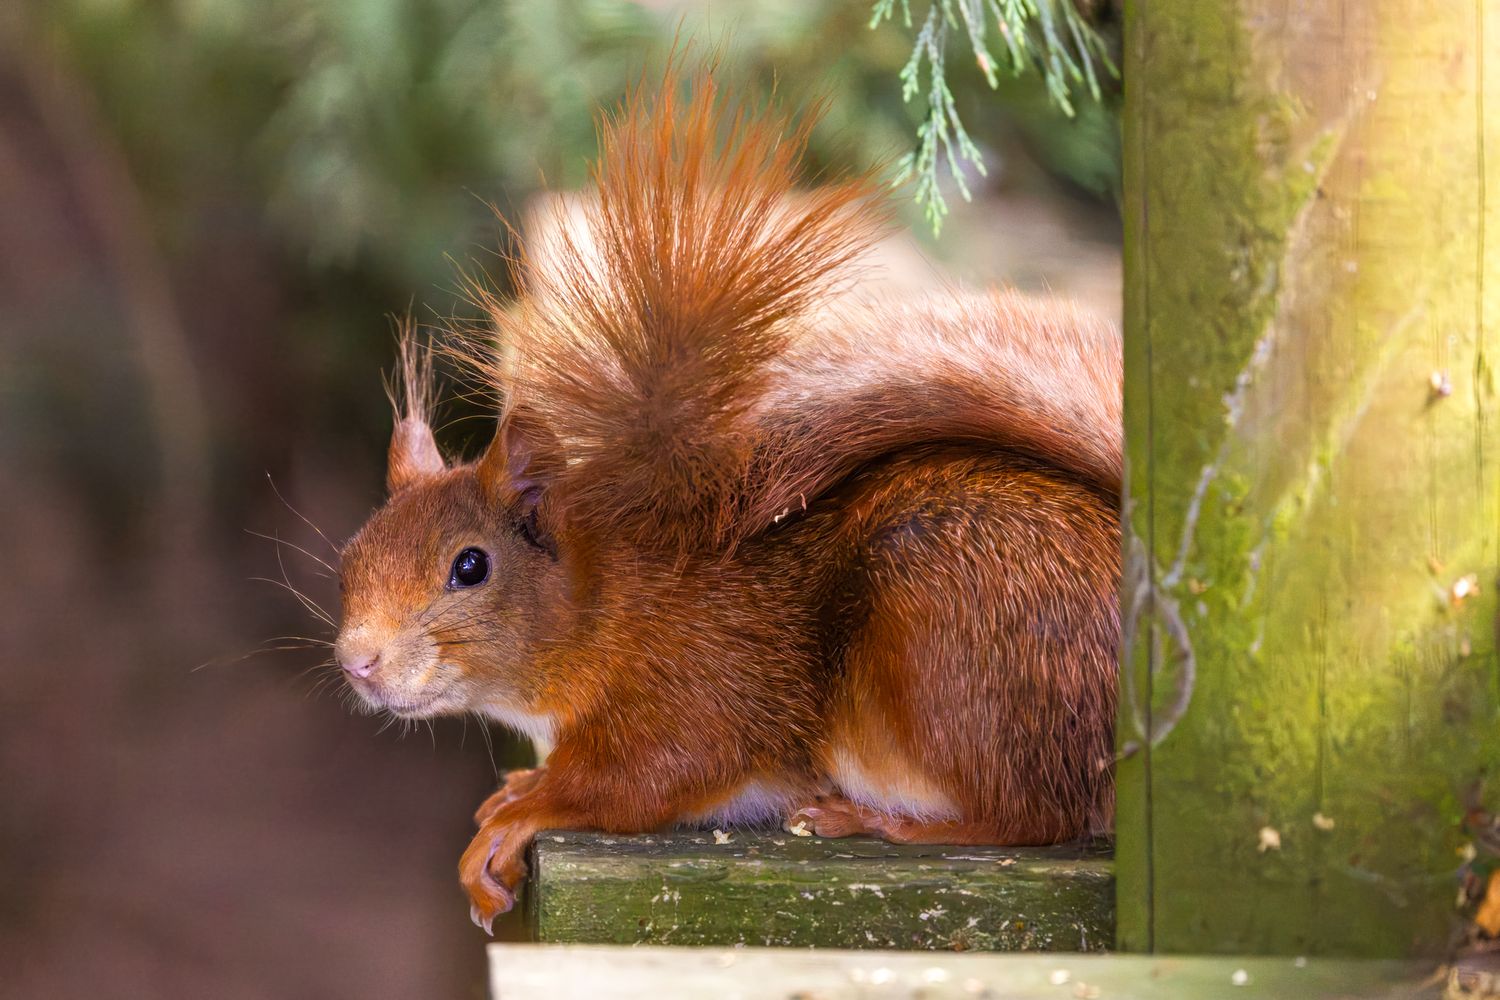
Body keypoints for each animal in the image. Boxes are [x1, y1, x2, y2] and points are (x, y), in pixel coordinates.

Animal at [332, 69, 1121, 932]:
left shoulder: (694, 684)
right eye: (350, 558)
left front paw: (521, 814)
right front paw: (519, 786)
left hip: (942, 642)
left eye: (470, 567)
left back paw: (881, 820)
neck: (605, 605)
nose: (357, 662)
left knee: (1031, 815)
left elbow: (642, 778)